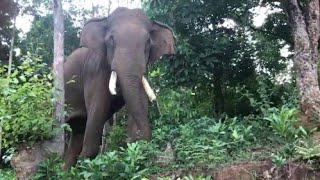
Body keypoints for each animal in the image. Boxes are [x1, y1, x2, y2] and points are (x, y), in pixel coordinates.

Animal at [62, 7, 175, 170]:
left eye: (148, 42)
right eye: (111, 40)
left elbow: (140, 101)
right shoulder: (94, 71)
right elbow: (98, 109)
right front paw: (88, 166)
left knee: (77, 131)